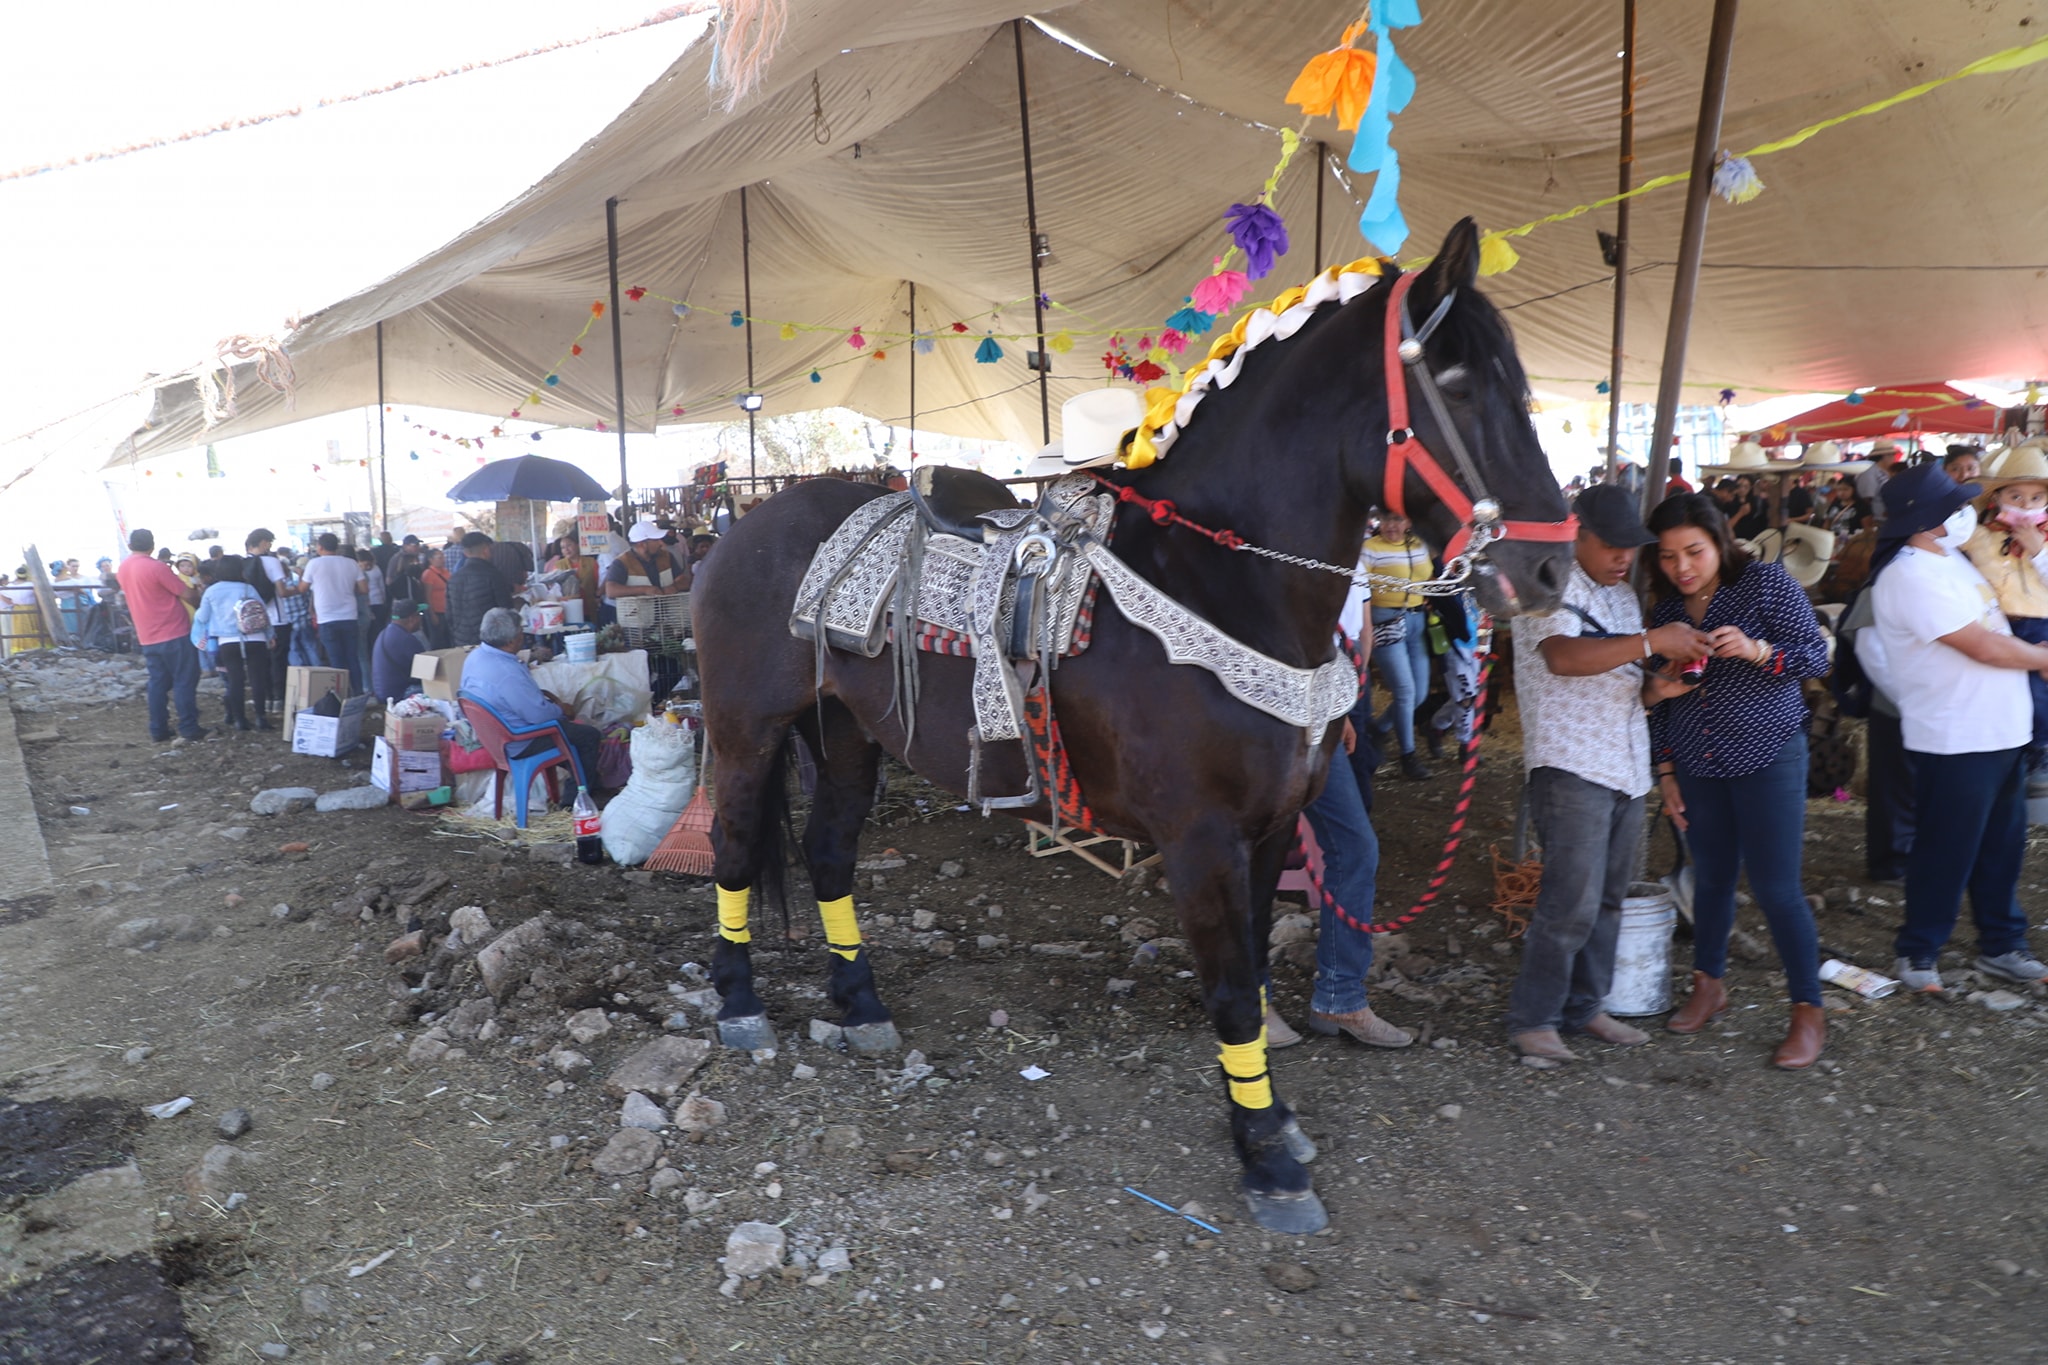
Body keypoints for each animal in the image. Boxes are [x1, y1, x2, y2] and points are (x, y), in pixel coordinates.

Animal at [696, 222, 1572, 1227]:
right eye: (1458, 383)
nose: (1550, 570)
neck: (1221, 582)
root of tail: (742, 525)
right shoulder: (1199, 838)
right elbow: (1231, 991)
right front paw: (1269, 1159)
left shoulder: (1273, 830)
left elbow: (1255, 976)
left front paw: (1269, 1121)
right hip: (747, 731)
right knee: (733, 849)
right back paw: (738, 1004)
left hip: (846, 732)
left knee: (831, 852)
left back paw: (861, 1004)